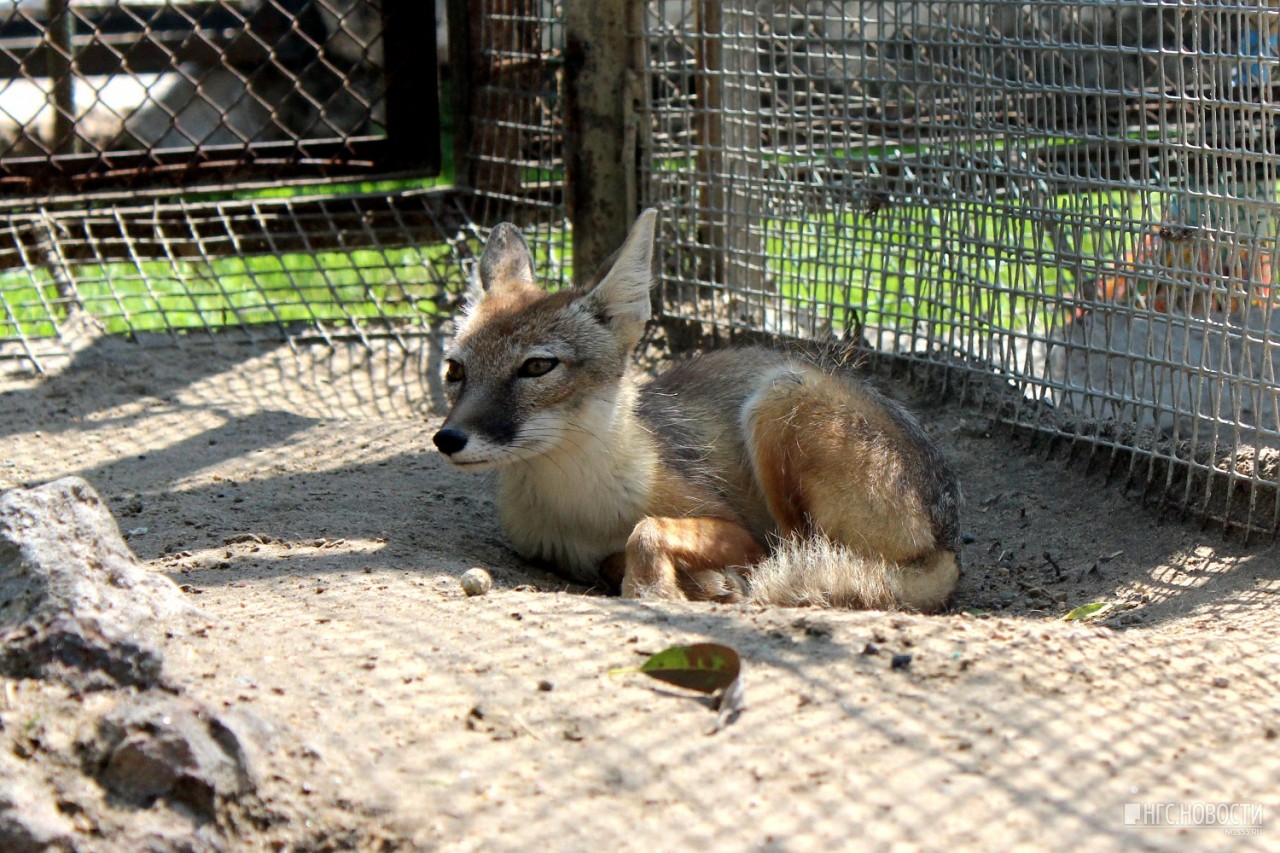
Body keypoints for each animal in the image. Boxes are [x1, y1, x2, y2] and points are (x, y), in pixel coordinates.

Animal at [430, 211, 962, 612]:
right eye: (455, 370)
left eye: (537, 367)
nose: (447, 439)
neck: (577, 504)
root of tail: (948, 545)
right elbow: (611, 556)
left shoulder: (741, 531)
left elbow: (646, 530)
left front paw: (656, 589)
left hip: (777, 400)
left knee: (799, 552)